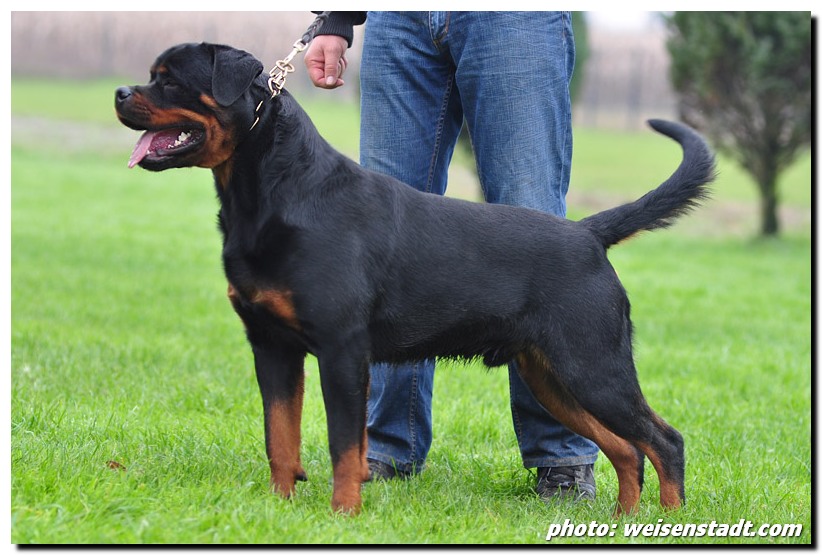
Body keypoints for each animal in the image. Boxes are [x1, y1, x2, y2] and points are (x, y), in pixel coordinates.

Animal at [114, 41, 716, 516]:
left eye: (171, 80)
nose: (120, 92)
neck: (269, 193)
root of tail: (588, 234)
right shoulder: (272, 346)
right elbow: (279, 436)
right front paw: (278, 507)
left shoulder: (342, 350)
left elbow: (343, 445)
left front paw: (343, 513)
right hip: (552, 375)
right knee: (626, 447)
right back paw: (623, 519)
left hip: (592, 365)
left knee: (664, 441)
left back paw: (667, 521)